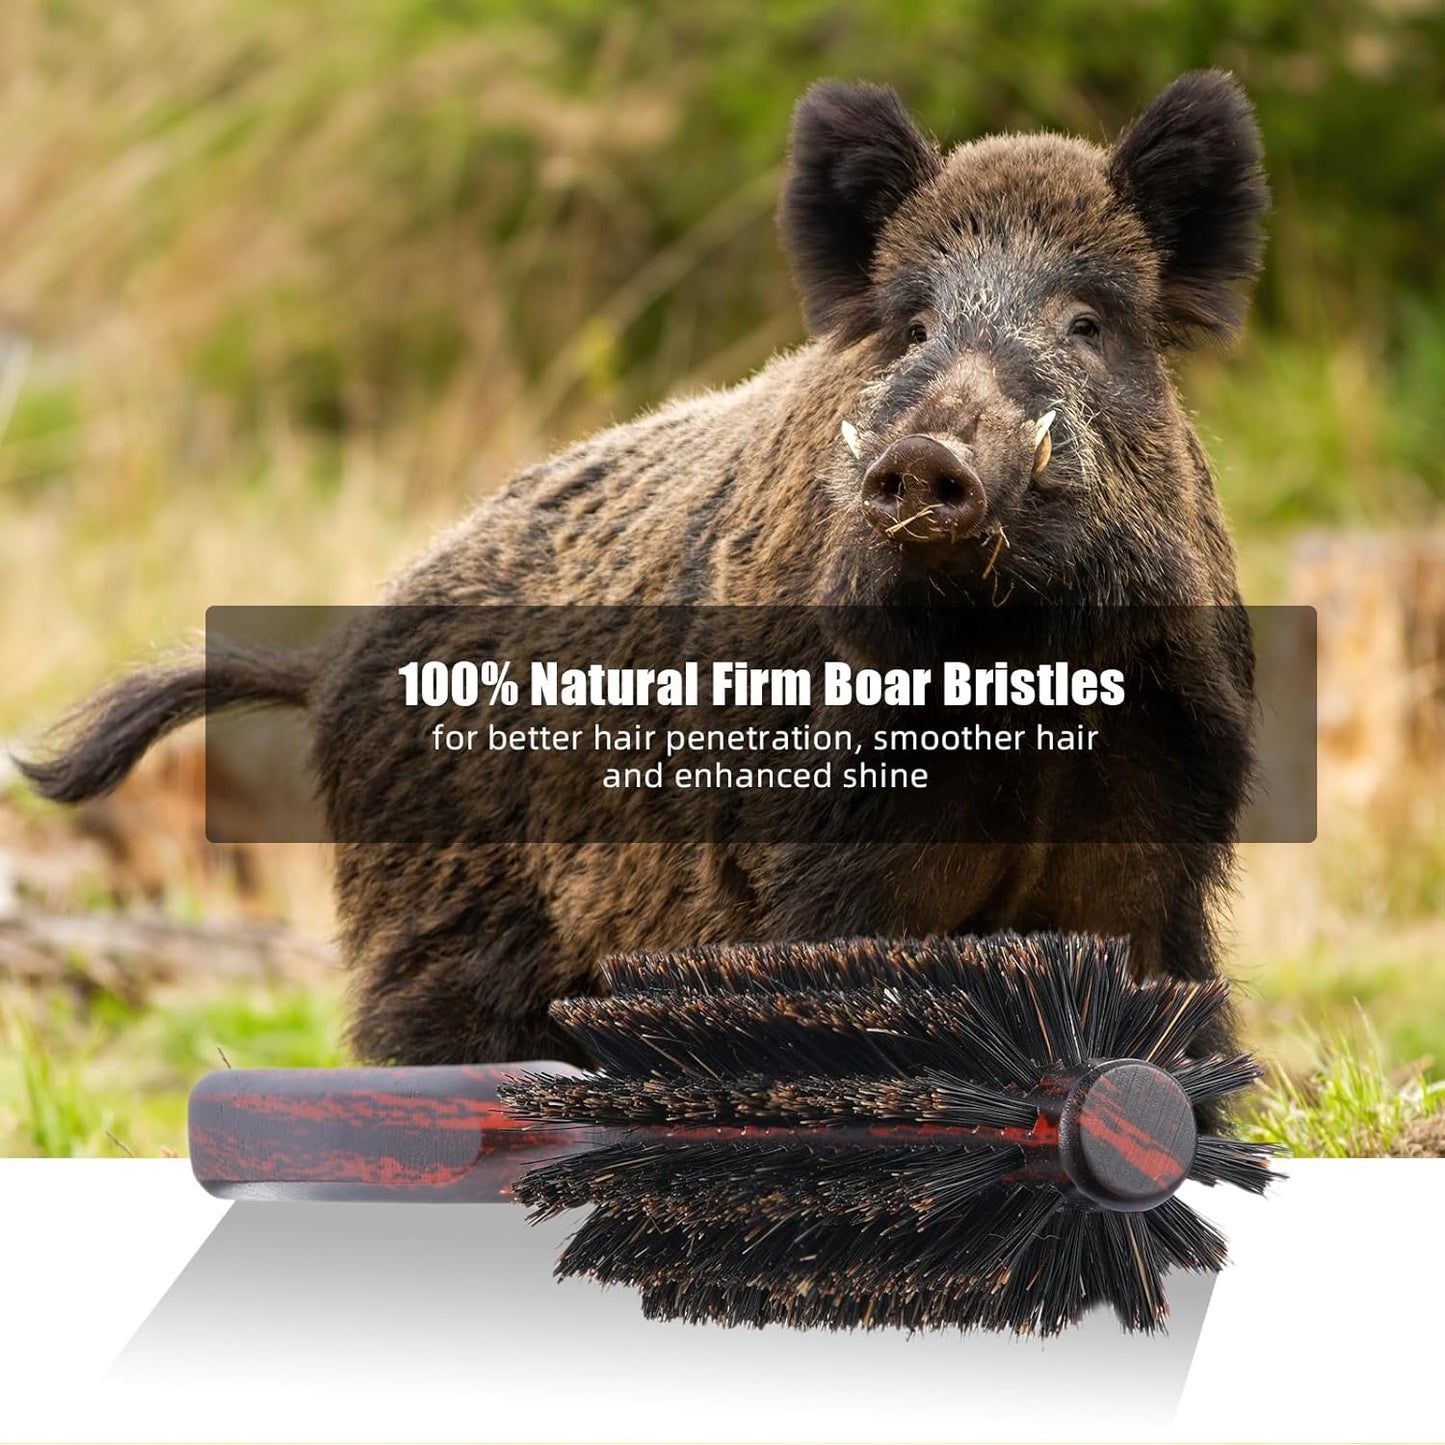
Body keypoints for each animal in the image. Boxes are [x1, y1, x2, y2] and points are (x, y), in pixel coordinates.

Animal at [22, 72, 1268, 1078]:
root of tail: (330, 659)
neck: (1012, 675)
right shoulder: (821, 861)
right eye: (910, 325)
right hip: (441, 924)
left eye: (1086, 321)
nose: (927, 457)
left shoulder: (1162, 833)